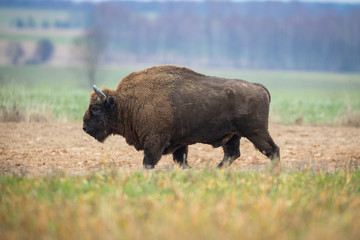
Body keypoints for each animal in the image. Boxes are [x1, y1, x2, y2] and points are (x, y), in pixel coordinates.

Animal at [83, 65, 280, 169]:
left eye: (94, 108)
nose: (85, 127)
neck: (127, 102)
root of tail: (259, 86)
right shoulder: (179, 144)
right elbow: (181, 160)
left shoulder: (155, 141)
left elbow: (149, 161)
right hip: (233, 135)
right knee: (232, 154)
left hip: (255, 132)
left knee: (272, 150)